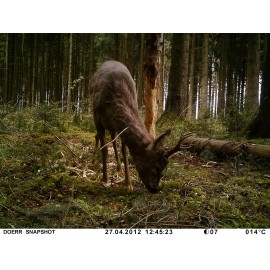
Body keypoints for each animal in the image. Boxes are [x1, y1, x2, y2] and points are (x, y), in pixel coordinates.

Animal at [92, 60, 180, 193]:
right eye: (155, 167)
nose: (155, 189)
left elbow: (124, 151)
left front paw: (128, 184)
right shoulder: (98, 117)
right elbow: (104, 149)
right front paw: (105, 180)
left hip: (112, 128)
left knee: (113, 141)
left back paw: (119, 168)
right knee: (98, 136)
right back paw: (93, 160)